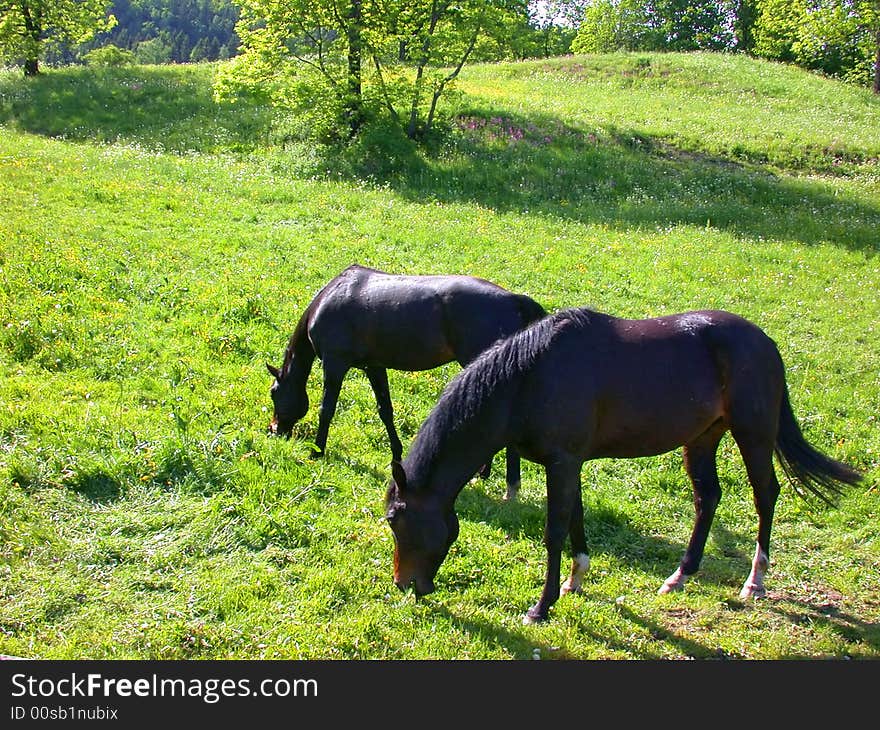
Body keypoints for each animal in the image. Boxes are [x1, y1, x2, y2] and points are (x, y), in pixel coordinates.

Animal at [264, 264, 548, 498]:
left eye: (273, 392)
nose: (274, 429)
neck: (332, 297)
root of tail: (515, 300)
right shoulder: (374, 366)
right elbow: (385, 411)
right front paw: (397, 454)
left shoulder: (335, 364)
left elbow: (327, 410)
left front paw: (317, 450)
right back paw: (486, 472)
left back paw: (510, 486)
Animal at [386, 306, 868, 620]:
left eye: (396, 519)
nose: (405, 586)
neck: (530, 378)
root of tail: (765, 342)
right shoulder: (570, 464)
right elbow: (576, 520)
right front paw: (575, 580)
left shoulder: (562, 462)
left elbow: (554, 530)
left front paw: (542, 606)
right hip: (703, 437)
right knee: (708, 497)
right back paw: (681, 575)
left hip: (753, 433)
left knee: (766, 494)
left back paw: (755, 580)